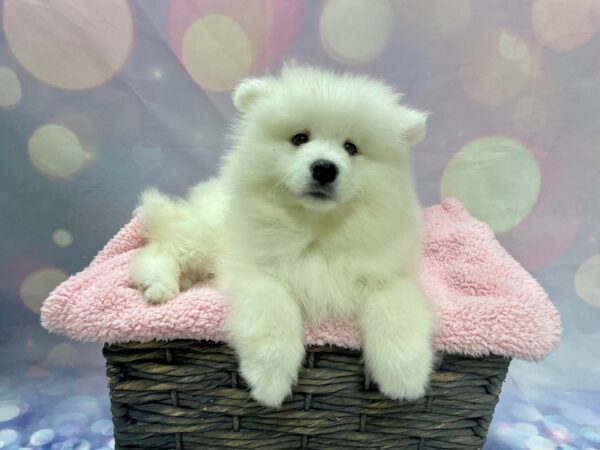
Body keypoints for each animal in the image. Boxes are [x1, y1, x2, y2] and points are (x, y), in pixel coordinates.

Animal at [129, 62, 436, 408]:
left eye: (351, 147)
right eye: (300, 138)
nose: (324, 168)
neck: (317, 229)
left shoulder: (389, 273)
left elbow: (397, 310)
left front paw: (405, 376)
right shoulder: (257, 271)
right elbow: (272, 314)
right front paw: (270, 380)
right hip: (205, 235)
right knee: (160, 249)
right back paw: (160, 286)